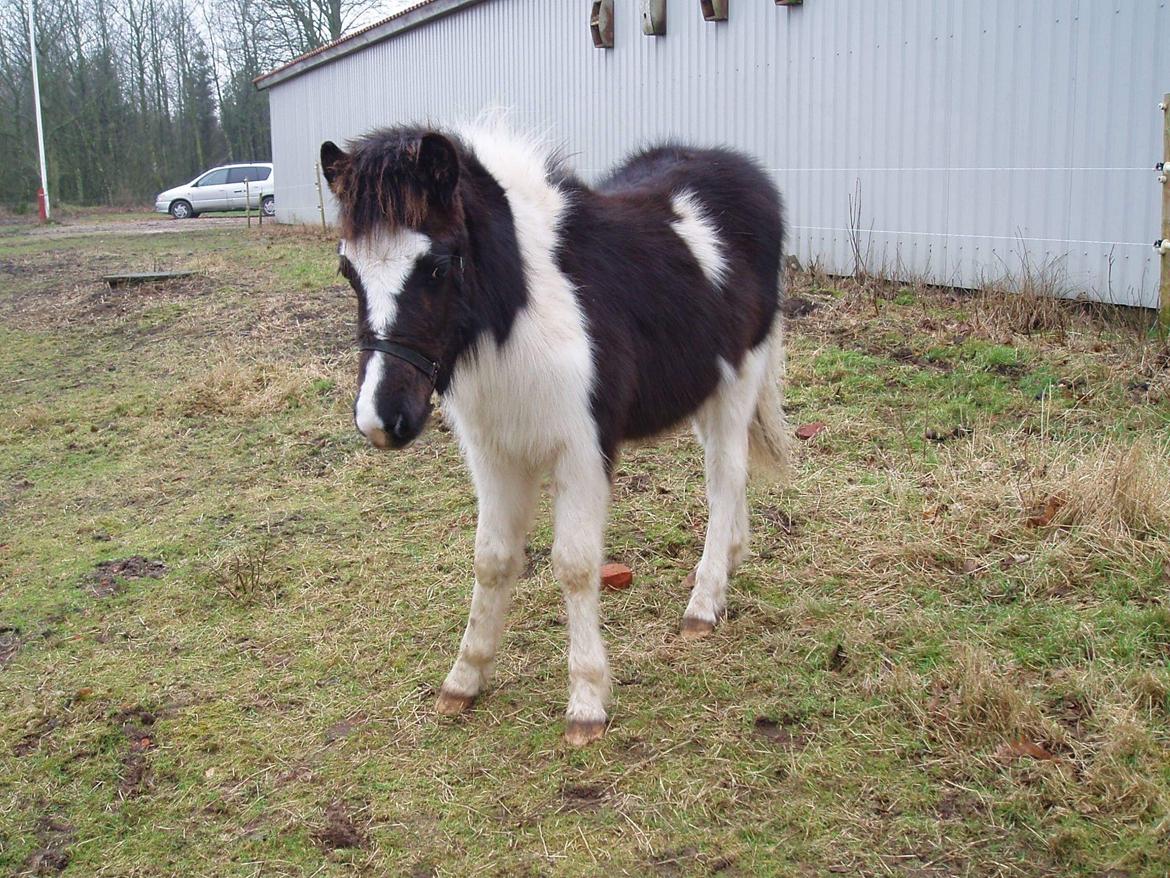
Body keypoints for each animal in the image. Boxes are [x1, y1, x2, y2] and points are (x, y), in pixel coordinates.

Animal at [325, 122, 790, 744]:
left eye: (439, 265)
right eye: (347, 271)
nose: (382, 419)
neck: (526, 313)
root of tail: (745, 175)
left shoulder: (583, 451)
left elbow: (573, 565)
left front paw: (587, 701)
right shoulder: (494, 454)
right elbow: (492, 559)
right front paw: (464, 681)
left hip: (740, 380)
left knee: (725, 479)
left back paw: (703, 603)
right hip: (704, 387)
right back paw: (725, 570)